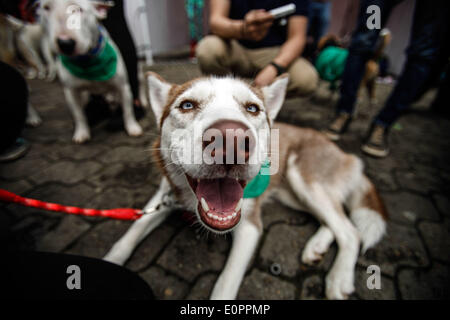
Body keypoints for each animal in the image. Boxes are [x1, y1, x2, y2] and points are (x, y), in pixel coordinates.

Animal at [38, 0, 142, 142]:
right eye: (46, 7)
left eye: (78, 9)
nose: (65, 43)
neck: (88, 60)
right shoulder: (71, 91)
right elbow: (78, 114)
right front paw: (81, 132)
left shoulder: (123, 87)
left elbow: (128, 110)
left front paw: (132, 127)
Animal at [104, 72, 386, 300]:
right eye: (187, 105)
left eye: (252, 108)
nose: (231, 140)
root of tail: (346, 154)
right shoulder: (163, 197)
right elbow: (131, 233)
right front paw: (110, 260)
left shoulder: (250, 226)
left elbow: (225, 284)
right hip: (294, 193)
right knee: (334, 220)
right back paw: (316, 246)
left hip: (304, 179)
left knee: (350, 231)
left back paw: (338, 278)